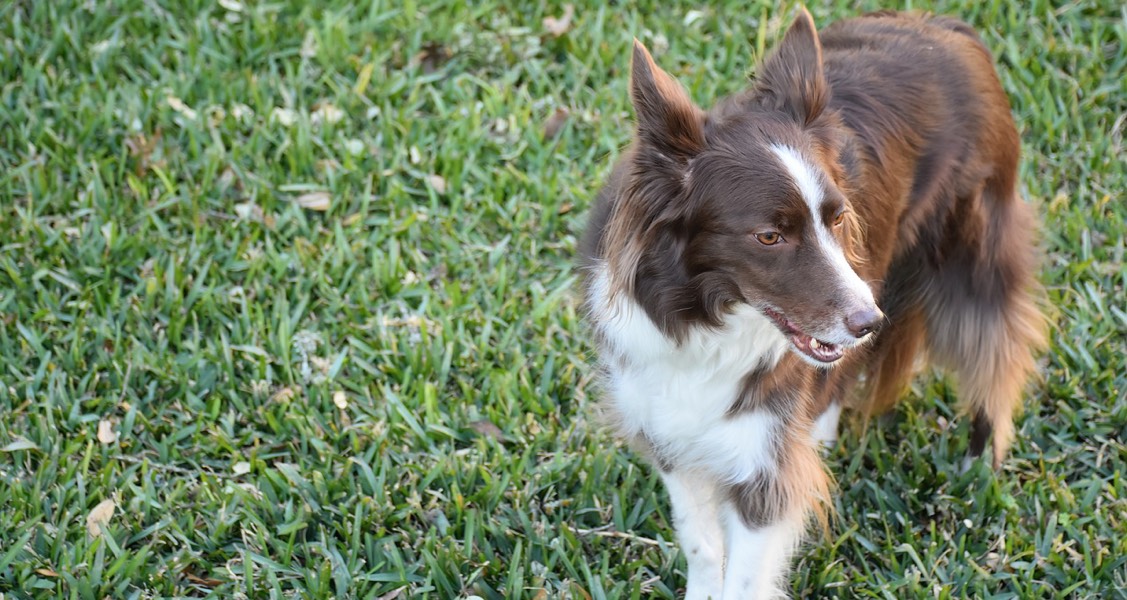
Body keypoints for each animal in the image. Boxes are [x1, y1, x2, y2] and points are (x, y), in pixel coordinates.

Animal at [581, 7, 1045, 595]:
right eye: (769, 237)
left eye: (838, 218)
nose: (870, 323)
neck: (706, 319)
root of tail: (946, 25)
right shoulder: (669, 430)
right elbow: (703, 545)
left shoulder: (762, 462)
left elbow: (746, 574)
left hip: (971, 246)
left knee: (993, 351)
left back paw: (976, 466)